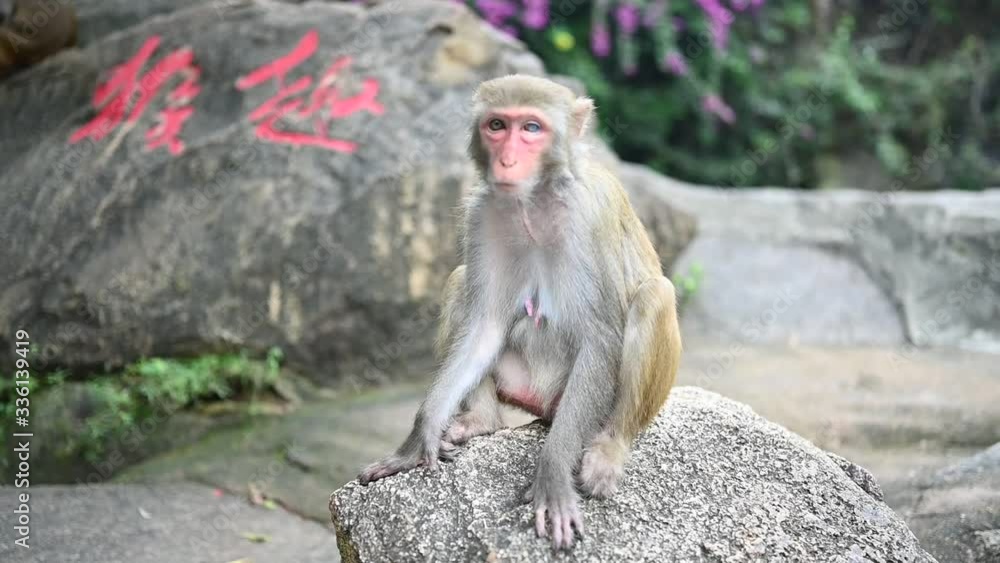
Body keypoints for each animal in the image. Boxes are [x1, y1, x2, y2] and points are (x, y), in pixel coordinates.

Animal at [358, 75, 681, 549]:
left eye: (531, 128)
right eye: (497, 125)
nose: (507, 160)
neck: (536, 199)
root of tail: (545, 402)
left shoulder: (591, 215)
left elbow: (601, 336)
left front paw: (552, 475)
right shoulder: (483, 213)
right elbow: (485, 325)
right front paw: (419, 436)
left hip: (582, 401)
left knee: (654, 295)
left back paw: (610, 447)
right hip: (522, 385)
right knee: (460, 281)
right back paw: (482, 421)